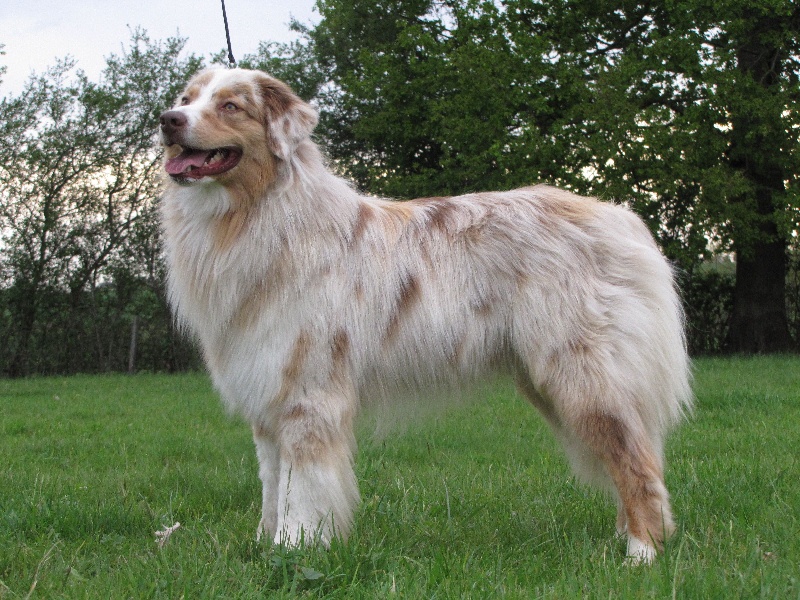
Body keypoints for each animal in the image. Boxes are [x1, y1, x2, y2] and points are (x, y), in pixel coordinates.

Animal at [159, 65, 692, 564]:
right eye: (186, 98)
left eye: (230, 106)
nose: (168, 120)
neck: (252, 215)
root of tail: (621, 219)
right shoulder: (268, 394)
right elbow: (272, 487)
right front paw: (265, 548)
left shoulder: (308, 397)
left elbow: (303, 491)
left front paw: (297, 550)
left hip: (584, 378)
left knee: (637, 465)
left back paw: (641, 554)